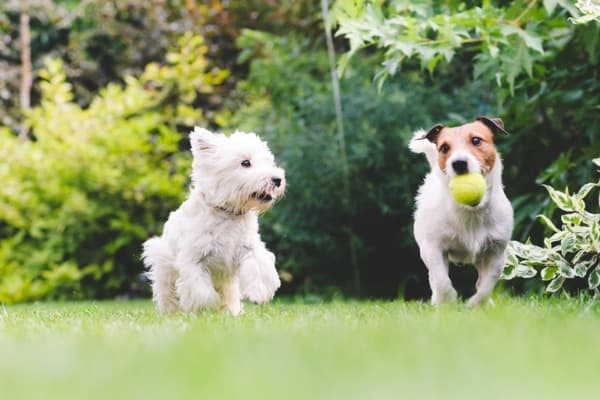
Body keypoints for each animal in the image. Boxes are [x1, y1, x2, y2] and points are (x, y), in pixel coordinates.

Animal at [144, 128, 288, 316]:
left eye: (268, 161)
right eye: (246, 163)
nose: (277, 179)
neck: (227, 212)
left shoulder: (248, 246)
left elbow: (258, 266)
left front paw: (258, 293)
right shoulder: (194, 258)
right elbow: (200, 291)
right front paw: (205, 308)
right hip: (163, 266)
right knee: (168, 294)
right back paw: (172, 312)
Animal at [410, 115, 512, 306]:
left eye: (476, 140)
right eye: (444, 148)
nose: (458, 163)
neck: (471, 210)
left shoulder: (496, 252)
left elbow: (487, 284)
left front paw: (476, 303)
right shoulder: (434, 248)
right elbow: (441, 280)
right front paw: (448, 300)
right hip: (425, 249)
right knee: (434, 277)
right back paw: (437, 300)